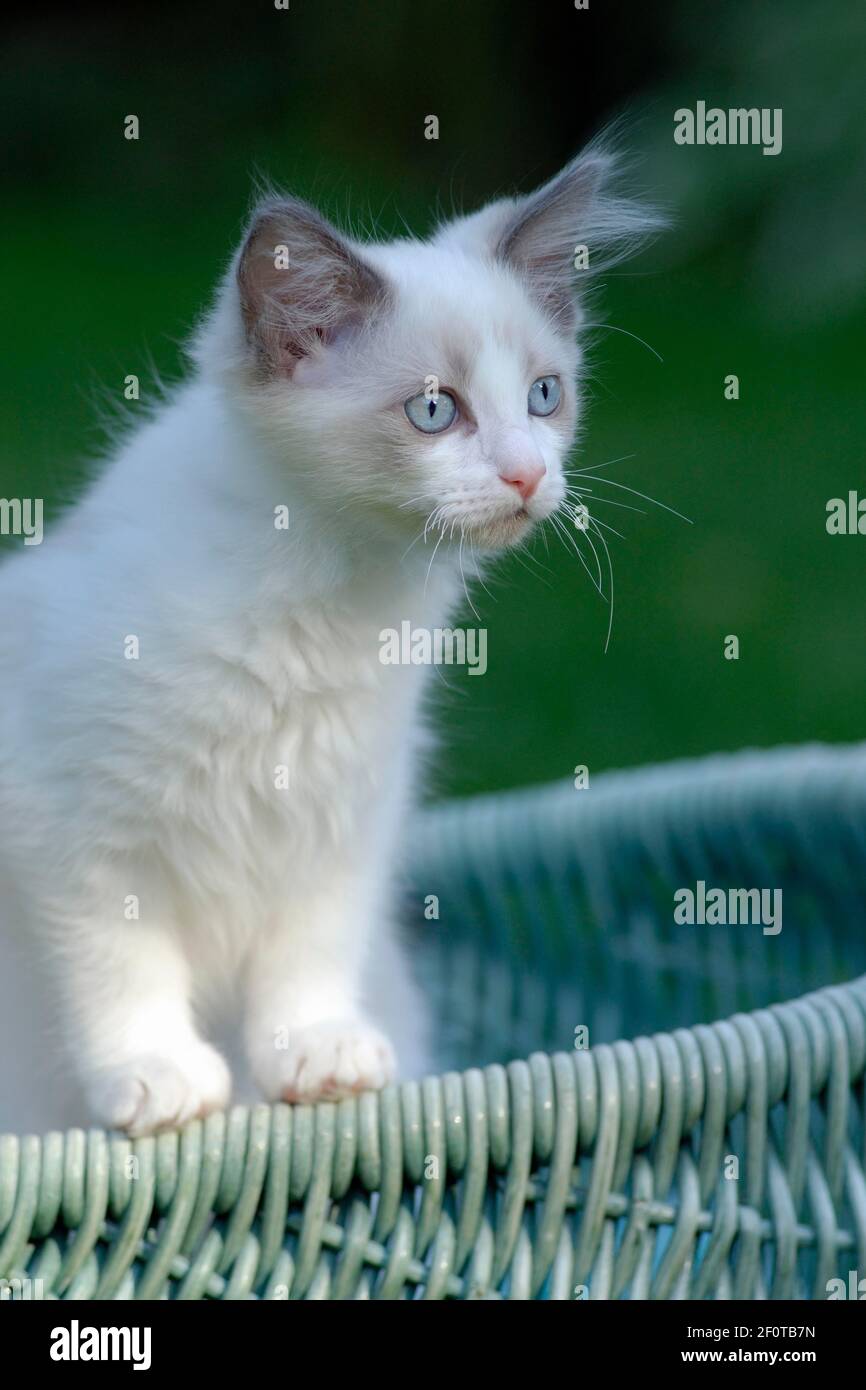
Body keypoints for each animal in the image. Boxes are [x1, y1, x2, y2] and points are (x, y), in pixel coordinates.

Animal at [0, 146, 656, 1134]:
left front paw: (314, 1057)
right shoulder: (69, 824)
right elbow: (120, 966)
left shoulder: (343, 813)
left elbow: (308, 956)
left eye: (545, 398)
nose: (529, 474)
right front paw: (161, 1078)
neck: (330, 602)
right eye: (436, 411)